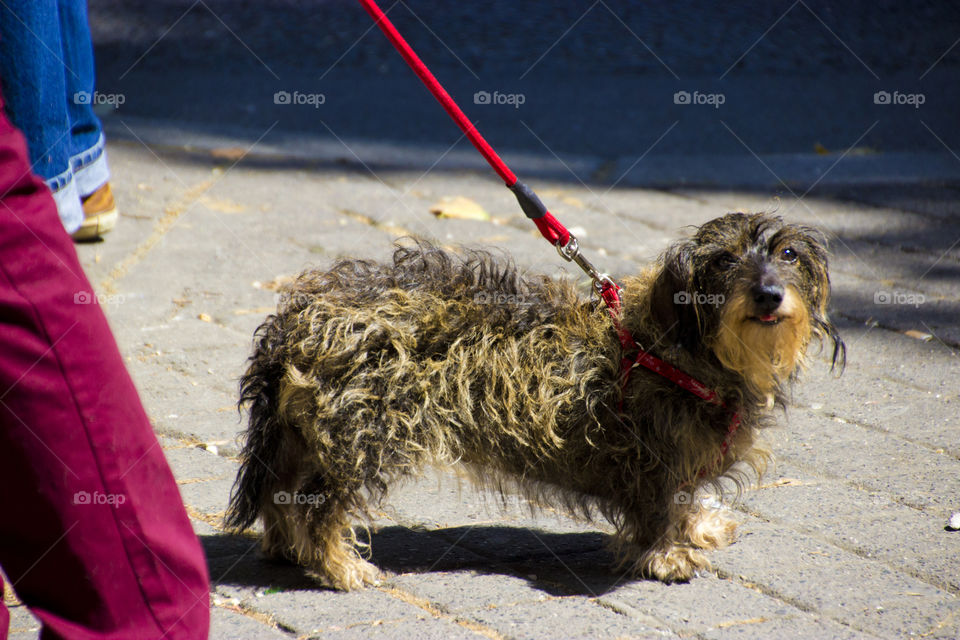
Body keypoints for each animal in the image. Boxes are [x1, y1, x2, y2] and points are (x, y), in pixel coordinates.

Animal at [223, 211, 840, 592]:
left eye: (788, 253)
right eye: (724, 261)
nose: (768, 294)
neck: (669, 350)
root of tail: (298, 316)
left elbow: (682, 503)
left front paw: (697, 527)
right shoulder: (649, 462)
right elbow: (658, 511)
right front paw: (668, 556)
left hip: (305, 437)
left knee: (283, 496)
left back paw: (288, 550)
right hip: (362, 436)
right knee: (321, 507)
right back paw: (341, 568)